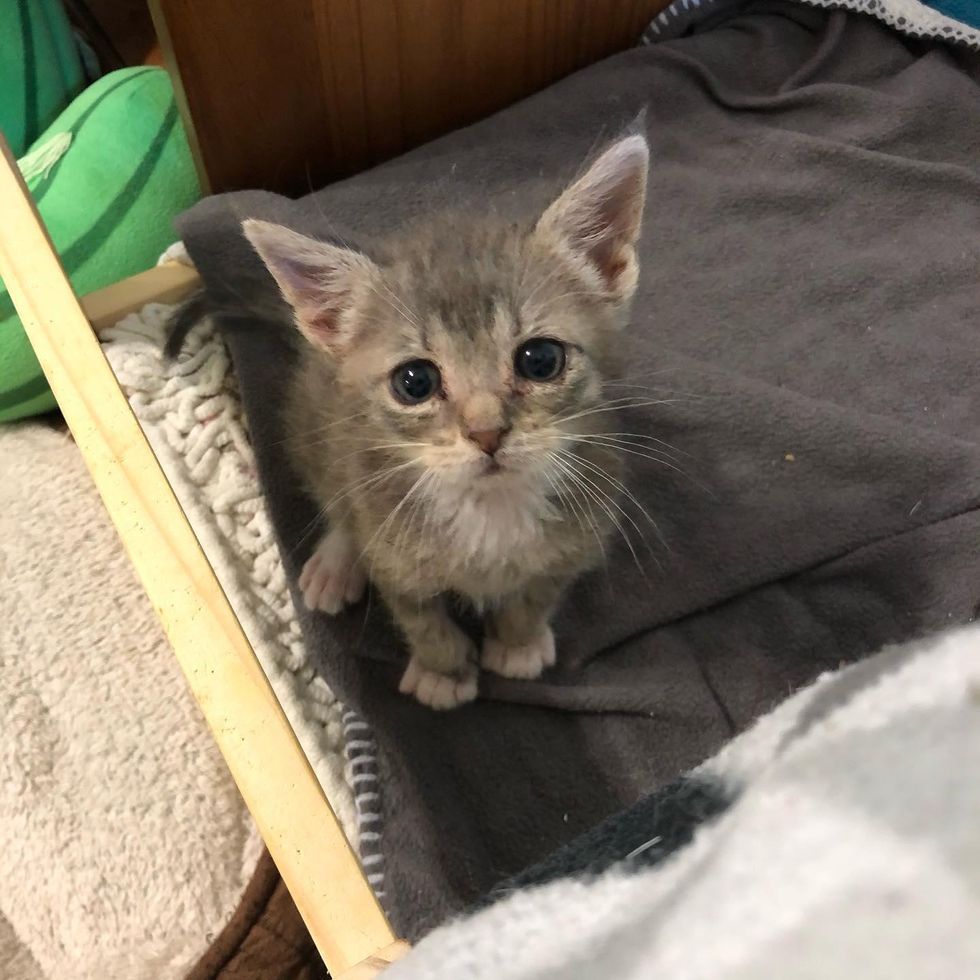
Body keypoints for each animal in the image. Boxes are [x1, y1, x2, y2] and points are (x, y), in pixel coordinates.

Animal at [243, 134, 652, 708]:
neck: (490, 510)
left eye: (541, 360)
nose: (486, 433)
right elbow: (420, 617)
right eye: (414, 382)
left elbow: (536, 593)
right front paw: (444, 672)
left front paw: (518, 643)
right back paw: (336, 564)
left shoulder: (579, 537)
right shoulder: (392, 554)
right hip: (312, 428)